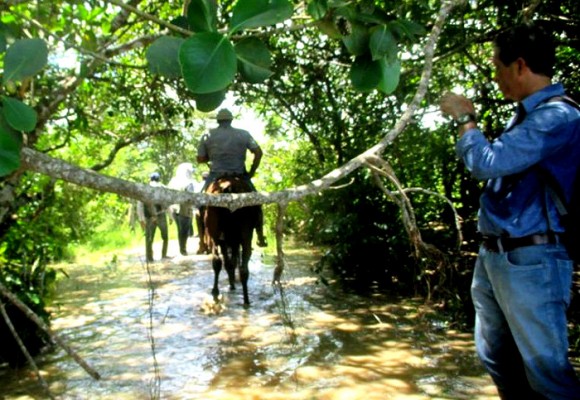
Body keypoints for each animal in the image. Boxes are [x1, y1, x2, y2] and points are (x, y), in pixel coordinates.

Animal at [203, 176, 260, 306]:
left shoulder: (227, 242)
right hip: (244, 234)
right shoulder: (232, 242)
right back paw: (246, 299)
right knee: (243, 266)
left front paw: (231, 281)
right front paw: (232, 281)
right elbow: (231, 262)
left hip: (216, 235)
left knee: (217, 261)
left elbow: (229, 263)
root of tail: (230, 186)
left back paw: (216, 291)